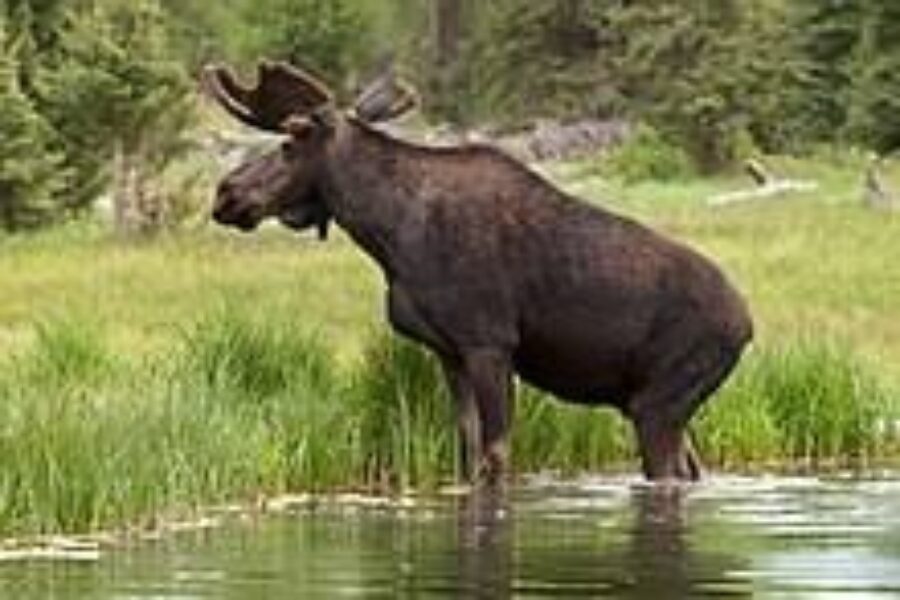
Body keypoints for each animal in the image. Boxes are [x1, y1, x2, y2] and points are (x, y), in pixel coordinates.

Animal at [202, 60, 753, 485]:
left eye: (291, 140)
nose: (226, 193)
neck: (389, 234)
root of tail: (748, 328)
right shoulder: (450, 351)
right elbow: (467, 453)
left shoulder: (489, 340)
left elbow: (496, 458)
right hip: (663, 406)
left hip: (658, 403)